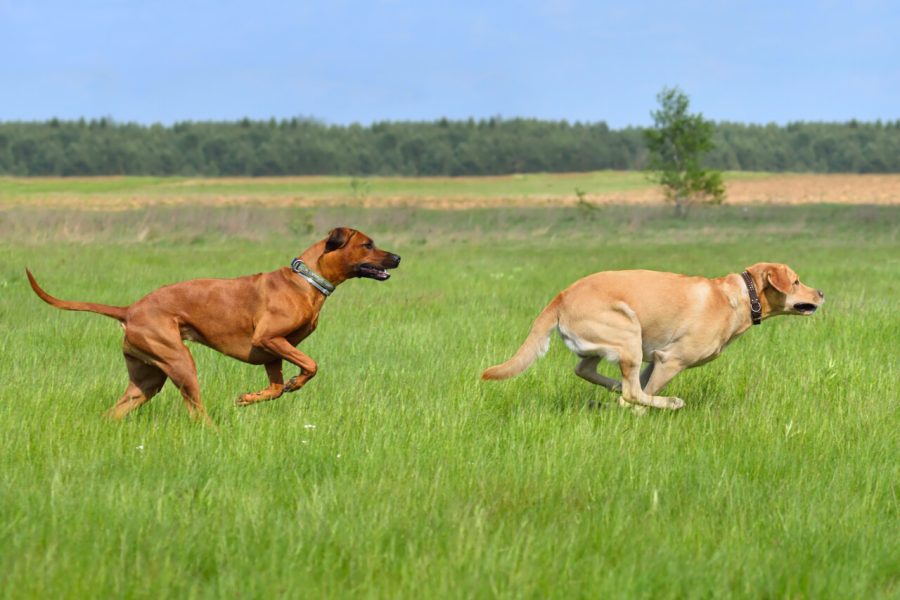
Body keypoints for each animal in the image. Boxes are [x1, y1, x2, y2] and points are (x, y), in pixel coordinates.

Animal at [28, 227, 400, 424]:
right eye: (367, 244)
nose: (398, 257)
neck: (306, 280)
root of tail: (130, 309)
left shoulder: (272, 353)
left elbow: (275, 387)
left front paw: (251, 397)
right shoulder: (269, 338)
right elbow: (310, 365)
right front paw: (296, 383)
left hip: (146, 379)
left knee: (120, 407)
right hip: (180, 361)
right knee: (196, 410)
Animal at [482, 264, 828, 412]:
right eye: (796, 281)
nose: (822, 293)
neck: (744, 296)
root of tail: (560, 297)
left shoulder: (654, 360)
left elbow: (639, 388)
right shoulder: (670, 360)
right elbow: (641, 396)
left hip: (613, 343)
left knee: (587, 370)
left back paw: (613, 390)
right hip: (628, 332)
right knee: (631, 390)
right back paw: (668, 402)